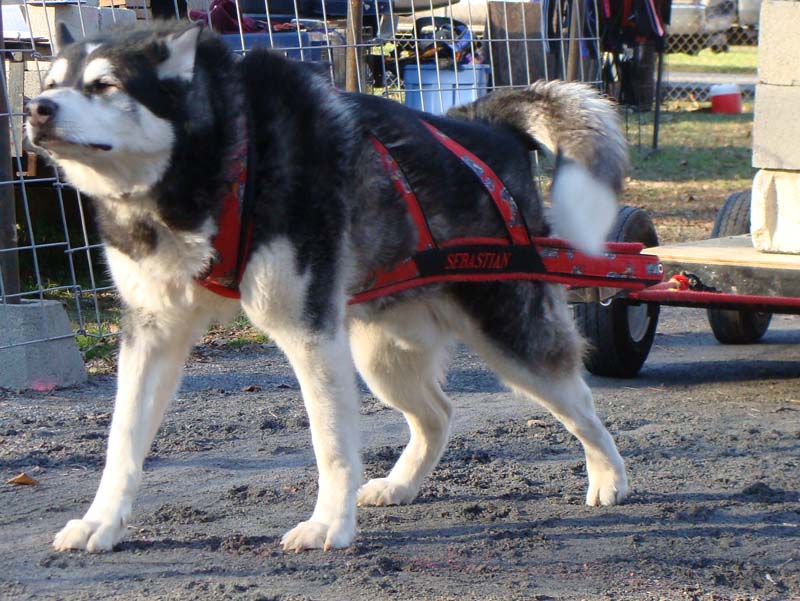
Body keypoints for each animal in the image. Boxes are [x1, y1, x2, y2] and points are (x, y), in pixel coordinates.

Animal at [26, 19, 632, 552]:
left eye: (104, 84)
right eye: (51, 83)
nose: (36, 109)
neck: (226, 154)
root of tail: (480, 121)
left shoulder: (308, 332)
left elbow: (332, 445)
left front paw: (327, 527)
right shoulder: (152, 335)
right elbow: (122, 441)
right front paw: (100, 523)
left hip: (510, 335)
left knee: (579, 400)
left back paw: (610, 476)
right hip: (382, 356)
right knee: (438, 413)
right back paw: (402, 483)